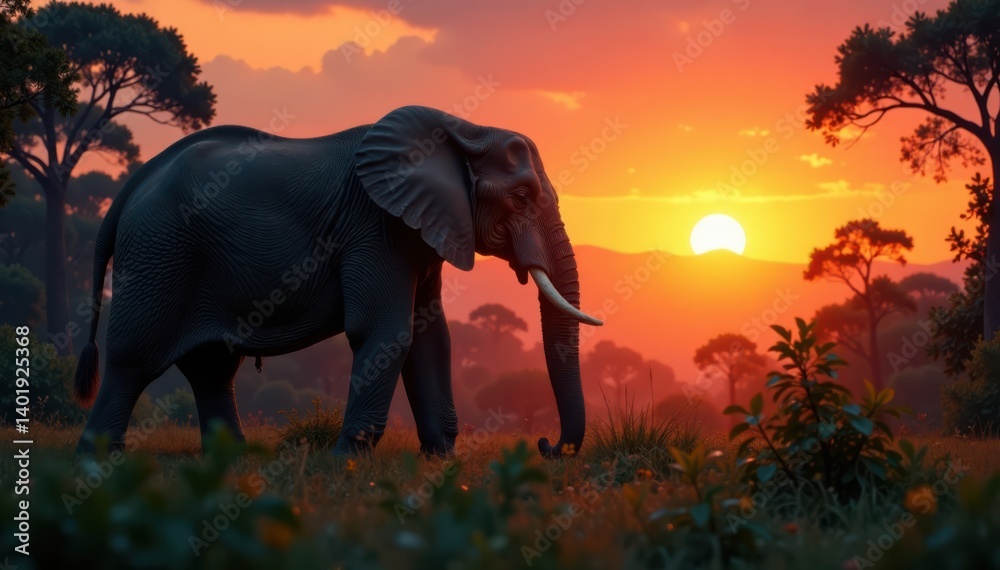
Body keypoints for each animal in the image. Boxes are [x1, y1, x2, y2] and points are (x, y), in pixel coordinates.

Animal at [72, 105, 603, 457]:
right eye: (521, 196)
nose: (545, 445)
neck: (464, 128)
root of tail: (131, 188)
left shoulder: (420, 230)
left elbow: (431, 337)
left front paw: (441, 461)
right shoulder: (374, 227)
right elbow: (388, 333)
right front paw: (348, 462)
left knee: (211, 367)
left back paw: (231, 461)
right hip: (160, 252)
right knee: (133, 358)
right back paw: (98, 462)